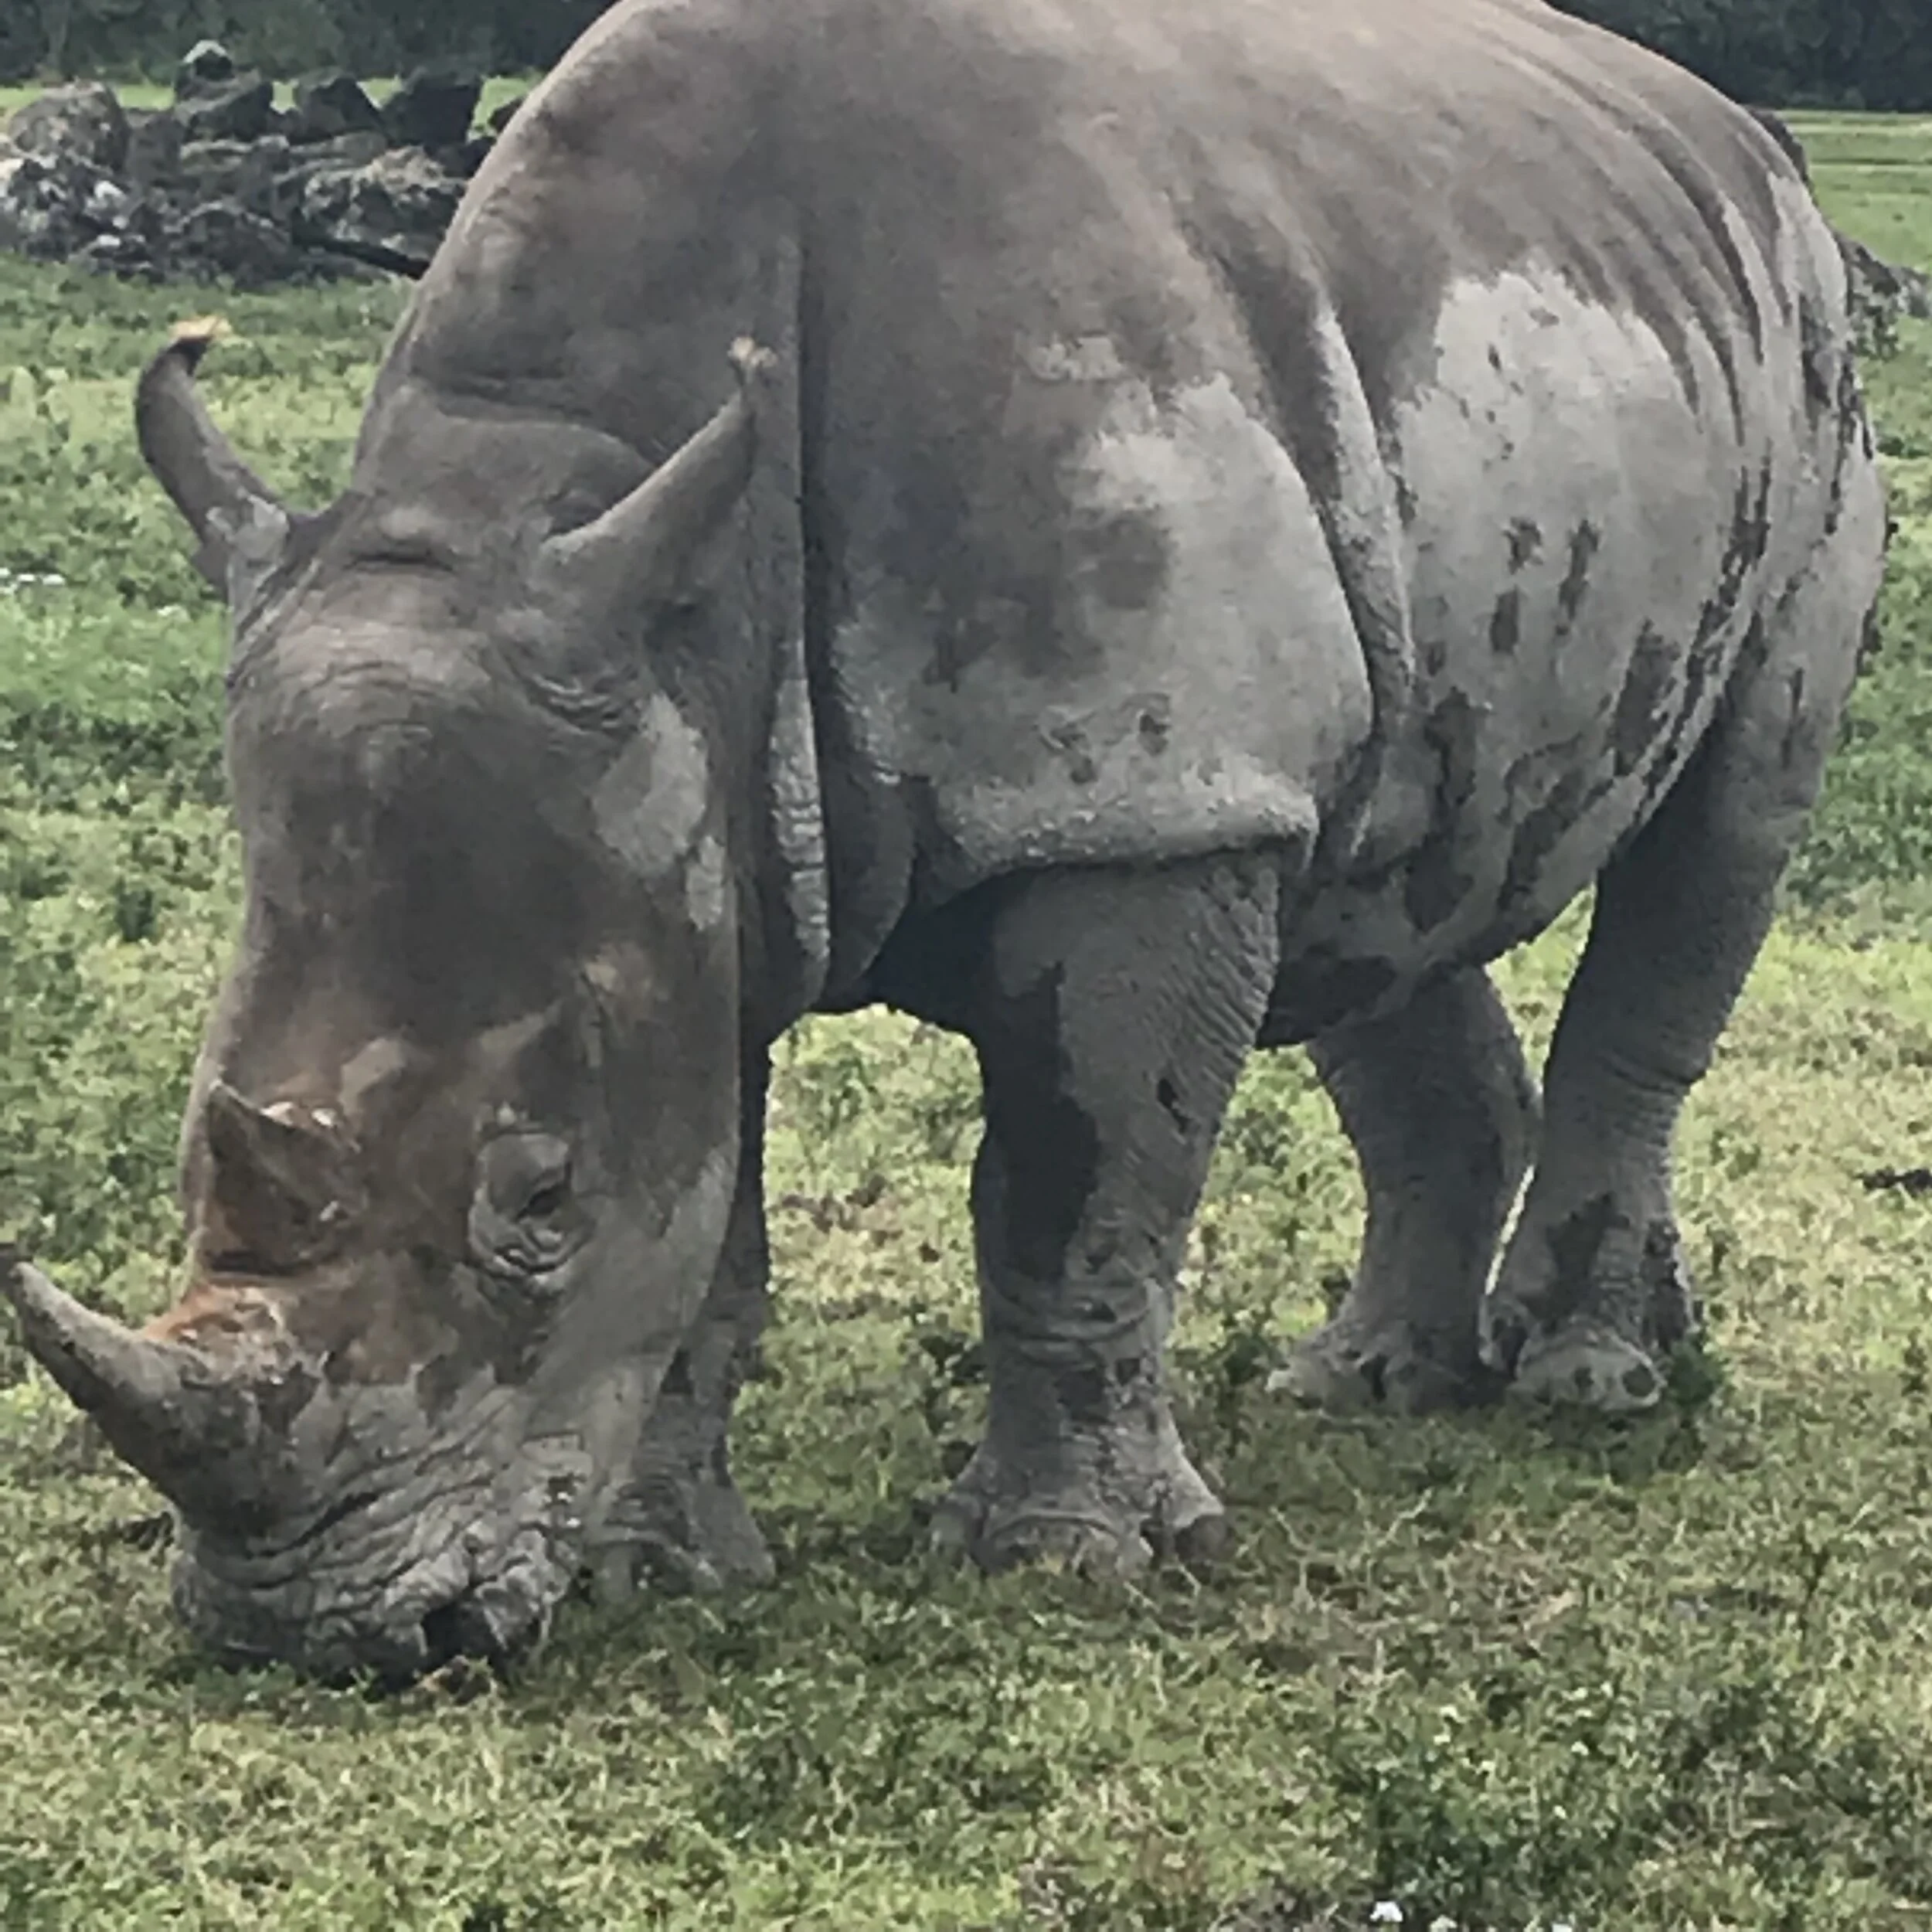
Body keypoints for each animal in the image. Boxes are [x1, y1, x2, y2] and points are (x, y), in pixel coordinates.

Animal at [2, 0, 1885, 1679]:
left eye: (538, 1198)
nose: (311, 1638)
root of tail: (1746, 150)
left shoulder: (1129, 805)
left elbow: (1073, 1177)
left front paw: (1064, 1564)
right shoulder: (691, 836)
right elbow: (707, 1206)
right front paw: (653, 1570)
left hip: (1805, 383)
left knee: (1717, 836)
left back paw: (1585, 1390)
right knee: (1373, 869)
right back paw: (1361, 1384)